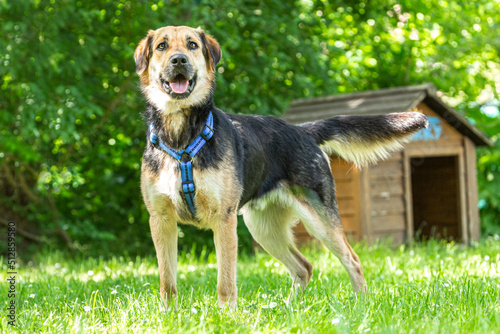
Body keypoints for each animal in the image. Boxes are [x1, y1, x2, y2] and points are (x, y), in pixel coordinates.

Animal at [135, 25, 428, 308]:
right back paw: (288, 308)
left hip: (320, 221)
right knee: (303, 267)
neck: (180, 135)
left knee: (352, 261)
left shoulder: (224, 220)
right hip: (265, 229)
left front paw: (226, 315)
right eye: (162, 46)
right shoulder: (161, 220)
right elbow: (167, 282)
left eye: (192, 45)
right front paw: (169, 315)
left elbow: (226, 281)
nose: (179, 60)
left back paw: (361, 306)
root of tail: (302, 130)